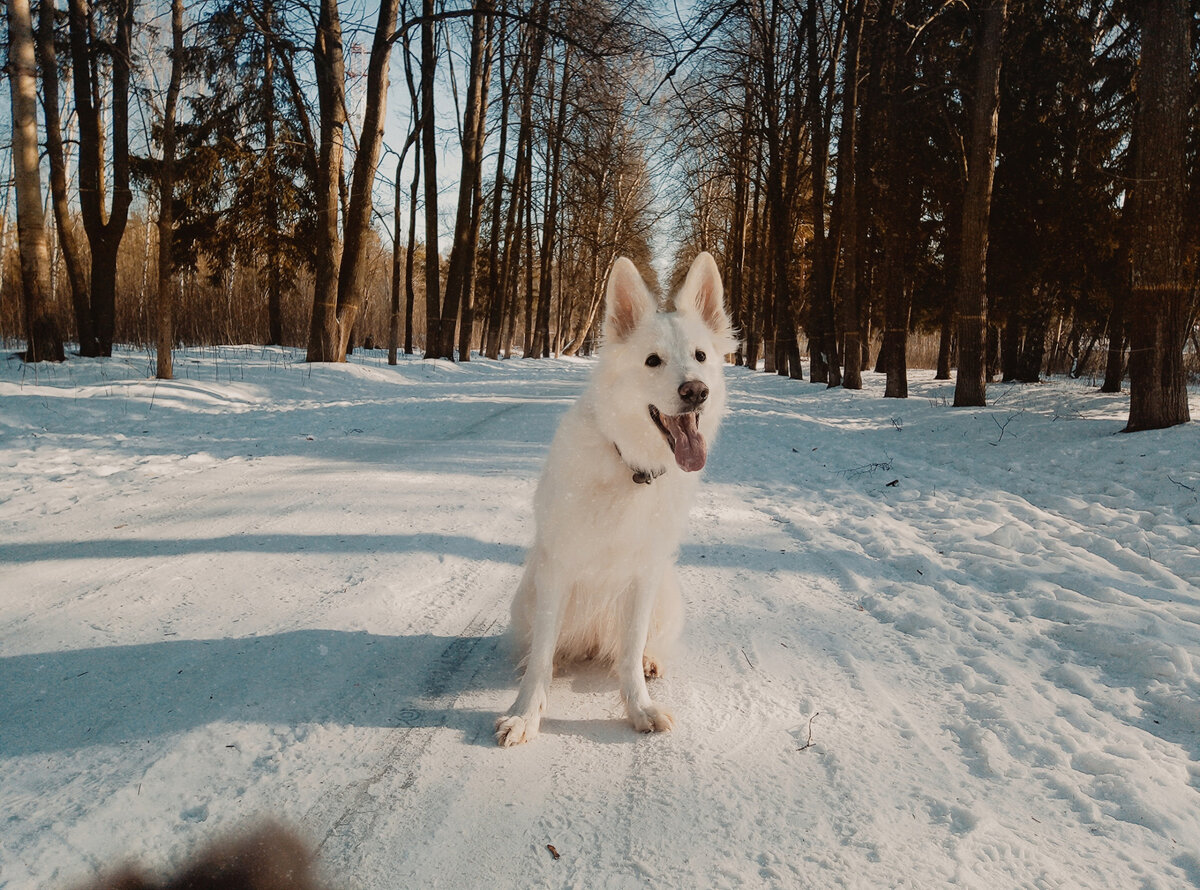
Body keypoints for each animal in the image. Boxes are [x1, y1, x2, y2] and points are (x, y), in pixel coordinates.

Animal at [494, 250, 734, 743]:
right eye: (653, 361)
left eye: (700, 356)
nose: (695, 391)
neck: (632, 468)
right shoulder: (558, 567)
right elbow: (542, 659)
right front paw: (526, 714)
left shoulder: (643, 574)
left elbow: (628, 653)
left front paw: (639, 708)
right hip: (527, 593)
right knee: (542, 648)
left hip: (666, 592)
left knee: (642, 645)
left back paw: (651, 660)